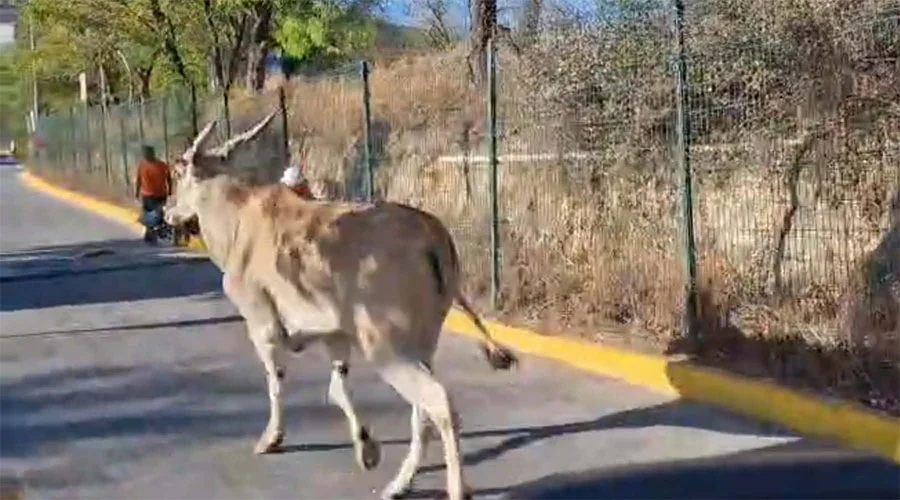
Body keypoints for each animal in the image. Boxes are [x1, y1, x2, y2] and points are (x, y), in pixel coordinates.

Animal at [163, 111, 518, 500]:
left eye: (178, 172)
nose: (167, 211)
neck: (237, 218)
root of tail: (435, 237)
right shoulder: (335, 335)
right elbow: (338, 388)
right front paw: (367, 449)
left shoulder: (263, 325)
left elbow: (276, 380)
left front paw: (271, 439)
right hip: (419, 345)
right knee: (421, 411)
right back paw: (399, 484)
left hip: (385, 348)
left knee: (439, 403)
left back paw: (453, 489)